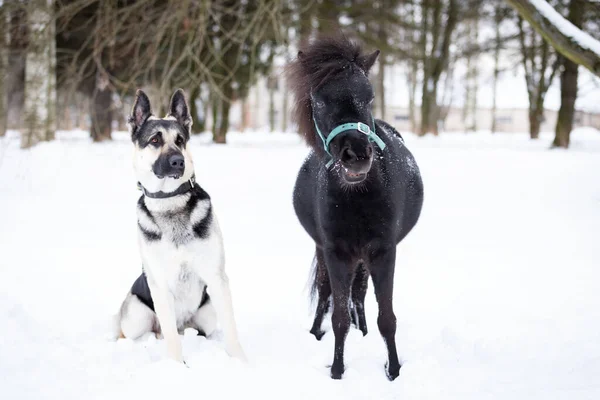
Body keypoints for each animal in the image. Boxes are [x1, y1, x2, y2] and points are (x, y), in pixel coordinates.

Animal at [115, 89, 246, 364]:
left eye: (181, 140)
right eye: (155, 140)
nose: (178, 161)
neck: (170, 202)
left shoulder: (217, 279)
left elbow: (231, 330)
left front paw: (242, 362)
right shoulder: (160, 285)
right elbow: (172, 340)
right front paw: (177, 366)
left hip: (207, 314)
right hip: (135, 317)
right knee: (140, 332)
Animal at [284, 36, 422, 380]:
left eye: (369, 98)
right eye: (319, 101)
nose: (357, 155)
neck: (358, 197)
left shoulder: (383, 252)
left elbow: (387, 318)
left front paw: (393, 370)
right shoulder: (337, 253)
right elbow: (338, 317)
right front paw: (336, 371)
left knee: (358, 295)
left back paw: (364, 332)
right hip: (327, 252)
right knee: (326, 295)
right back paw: (315, 333)